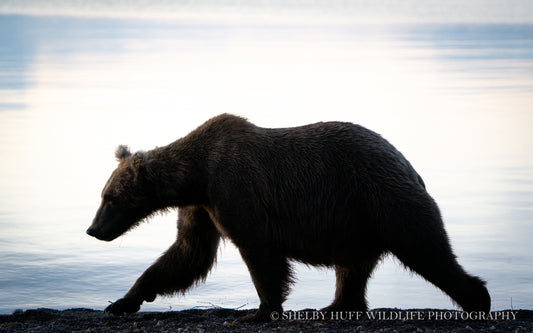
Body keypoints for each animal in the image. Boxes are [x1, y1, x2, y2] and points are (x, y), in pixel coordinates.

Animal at [87, 113, 490, 320]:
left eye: (110, 197)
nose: (93, 229)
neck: (195, 176)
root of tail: (407, 163)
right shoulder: (202, 206)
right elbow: (188, 254)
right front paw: (123, 301)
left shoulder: (235, 188)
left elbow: (259, 251)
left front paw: (262, 310)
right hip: (354, 220)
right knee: (353, 267)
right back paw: (336, 306)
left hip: (380, 197)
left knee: (424, 247)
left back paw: (477, 298)